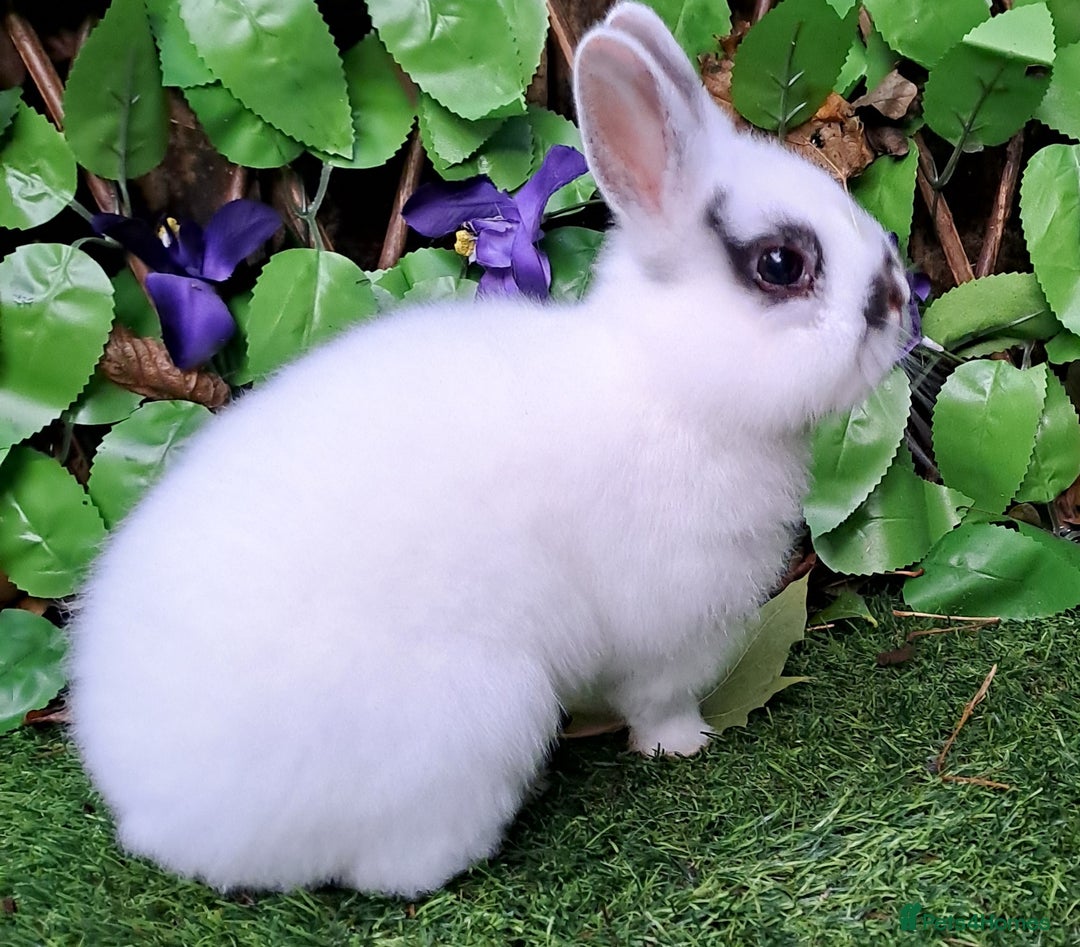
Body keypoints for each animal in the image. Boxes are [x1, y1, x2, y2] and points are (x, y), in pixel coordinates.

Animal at [69, 1, 914, 899]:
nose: (901, 300)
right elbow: (658, 700)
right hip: (477, 715)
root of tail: (160, 818)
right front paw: (684, 743)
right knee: (396, 869)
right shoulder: (669, 629)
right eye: (781, 264)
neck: (668, 382)